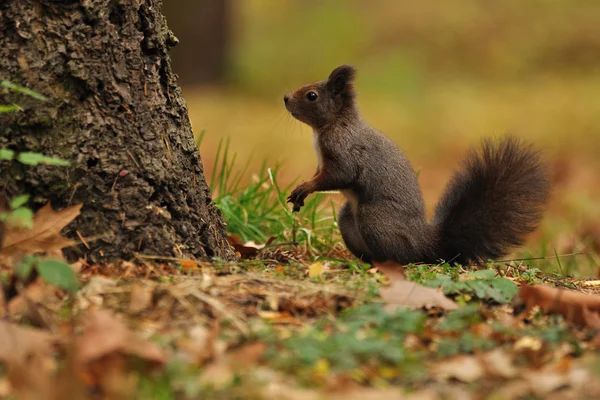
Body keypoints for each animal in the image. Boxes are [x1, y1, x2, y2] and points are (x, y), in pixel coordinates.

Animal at [284, 65, 552, 266]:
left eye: (312, 95)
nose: (285, 98)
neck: (331, 125)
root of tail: (426, 243)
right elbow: (322, 175)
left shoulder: (344, 150)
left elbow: (340, 175)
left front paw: (304, 188)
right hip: (348, 218)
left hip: (374, 218)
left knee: (405, 257)